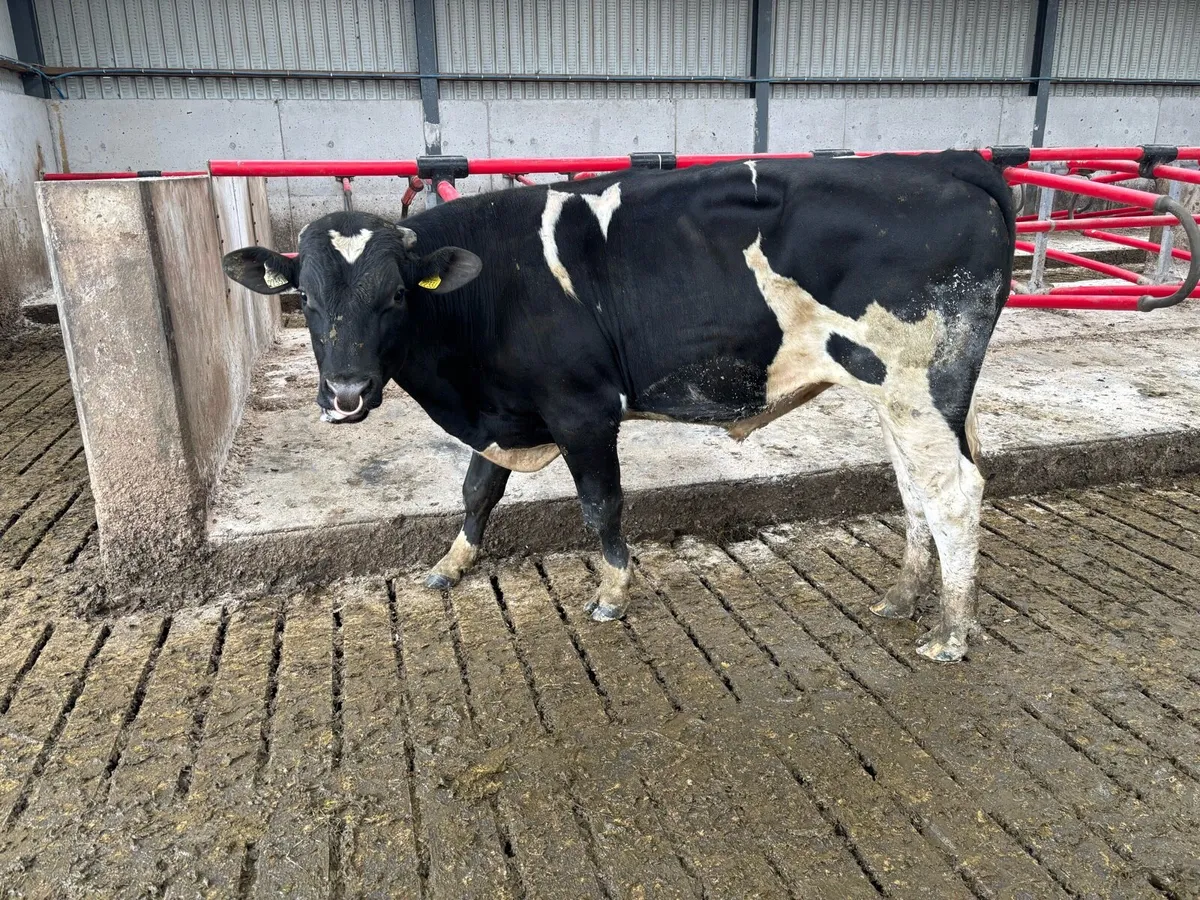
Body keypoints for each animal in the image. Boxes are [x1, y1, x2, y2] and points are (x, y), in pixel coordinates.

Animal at [222, 150, 1015, 662]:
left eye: (392, 297)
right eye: (307, 298)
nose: (346, 394)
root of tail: (947, 163)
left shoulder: (583, 409)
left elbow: (600, 504)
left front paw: (612, 590)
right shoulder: (505, 414)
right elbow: (478, 489)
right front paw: (452, 562)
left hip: (917, 387)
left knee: (953, 492)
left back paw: (950, 633)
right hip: (900, 396)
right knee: (916, 490)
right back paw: (903, 597)